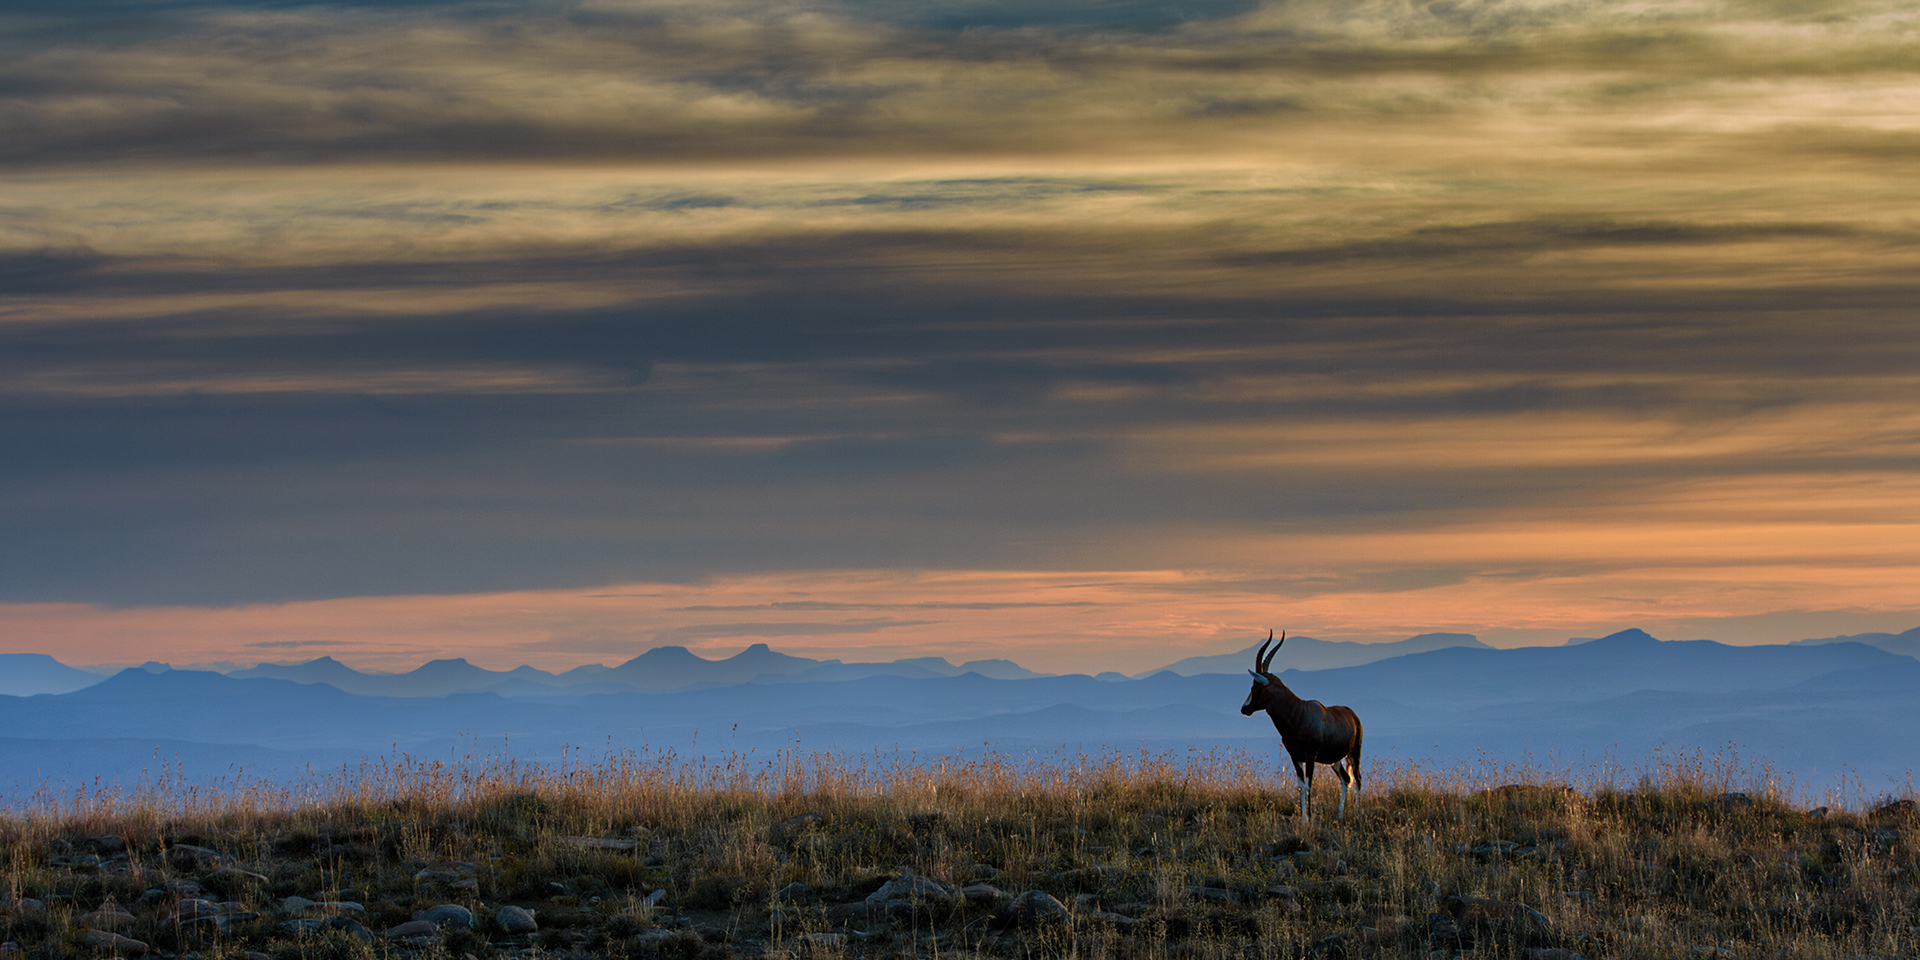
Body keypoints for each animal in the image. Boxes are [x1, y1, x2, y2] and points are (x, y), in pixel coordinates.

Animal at [1244, 629, 1367, 817]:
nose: (1244, 709)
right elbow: (1301, 787)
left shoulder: (1310, 757)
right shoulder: (1295, 757)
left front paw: (1309, 818)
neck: (1299, 713)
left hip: (1354, 752)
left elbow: (1309, 786)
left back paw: (1357, 814)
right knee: (1346, 779)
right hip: (1335, 759)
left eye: (1255, 687)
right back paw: (1339, 816)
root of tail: (1353, 715)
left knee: (1358, 779)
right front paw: (1303, 819)